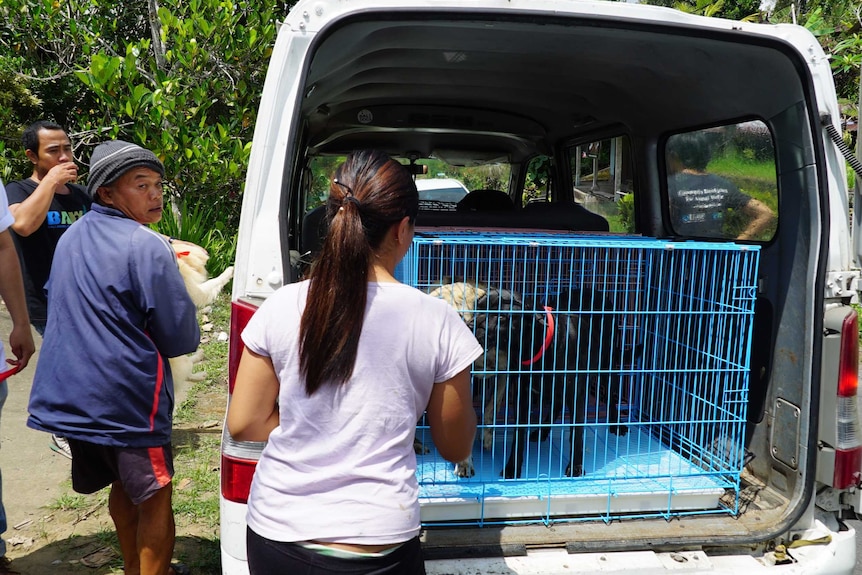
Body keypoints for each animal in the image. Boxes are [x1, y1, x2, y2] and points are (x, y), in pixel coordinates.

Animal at [167, 238, 235, 388]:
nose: (207, 253)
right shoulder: (198, 292)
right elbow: (214, 282)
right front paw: (229, 271)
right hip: (178, 360)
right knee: (185, 372)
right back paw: (200, 372)